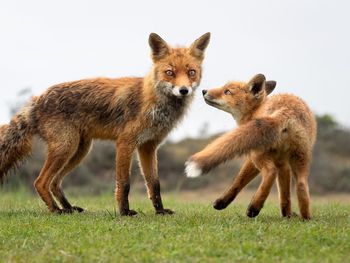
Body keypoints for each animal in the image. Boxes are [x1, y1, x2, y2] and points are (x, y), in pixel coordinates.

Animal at [0, 32, 211, 217]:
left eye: (191, 72)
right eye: (170, 73)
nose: (183, 90)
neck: (154, 103)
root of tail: (37, 99)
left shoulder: (148, 146)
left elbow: (154, 184)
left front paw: (160, 211)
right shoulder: (126, 142)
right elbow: (124, 183)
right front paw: (124, 212)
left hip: (79, 150)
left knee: (55, 182)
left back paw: (68, 208)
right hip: (66, 147)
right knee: (40, 182)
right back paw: (56, 210)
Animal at [186, 75, 318, 221]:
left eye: (227, 91)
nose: (204, 91)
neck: (255, 112)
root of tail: (286, 111)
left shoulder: (252, 157)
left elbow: (238, 181)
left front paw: (222, 202)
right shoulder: (283, 163)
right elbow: (285, 195)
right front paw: (287, 215)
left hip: (259, 156)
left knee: (270, 172)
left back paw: (254, 207)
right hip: (301, 159)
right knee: (301, 185)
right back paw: (306, 218)